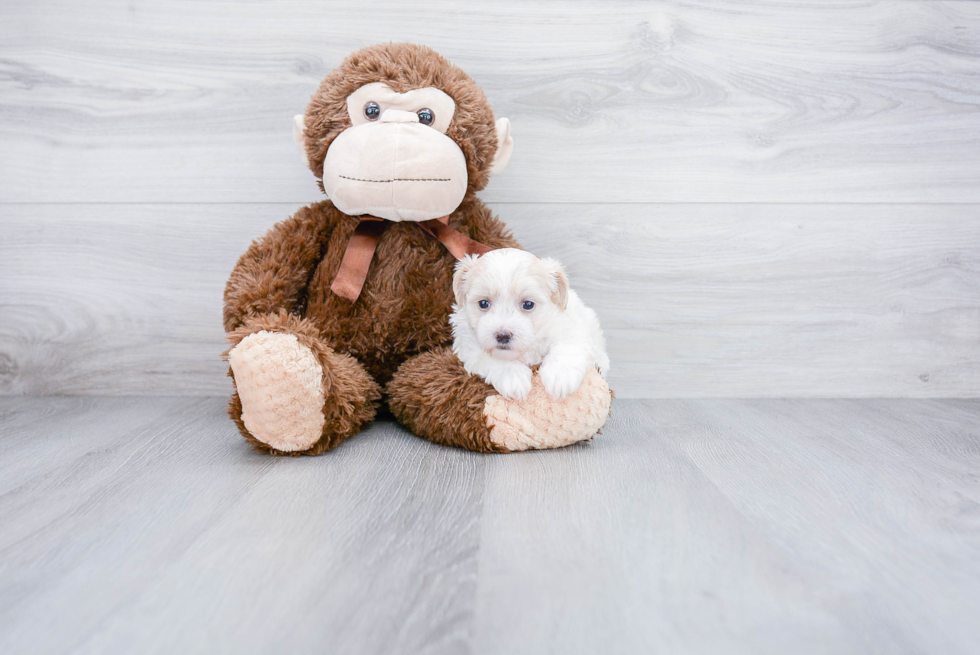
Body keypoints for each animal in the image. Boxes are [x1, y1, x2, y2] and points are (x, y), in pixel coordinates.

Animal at [450, 249, 604, 402]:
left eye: (528, 304)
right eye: (483, 303)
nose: (503, 336)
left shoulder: (572, 325)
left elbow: (568, 346)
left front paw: (561, 376)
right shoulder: (467, 345)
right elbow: (490, 357)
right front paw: (513, 376)